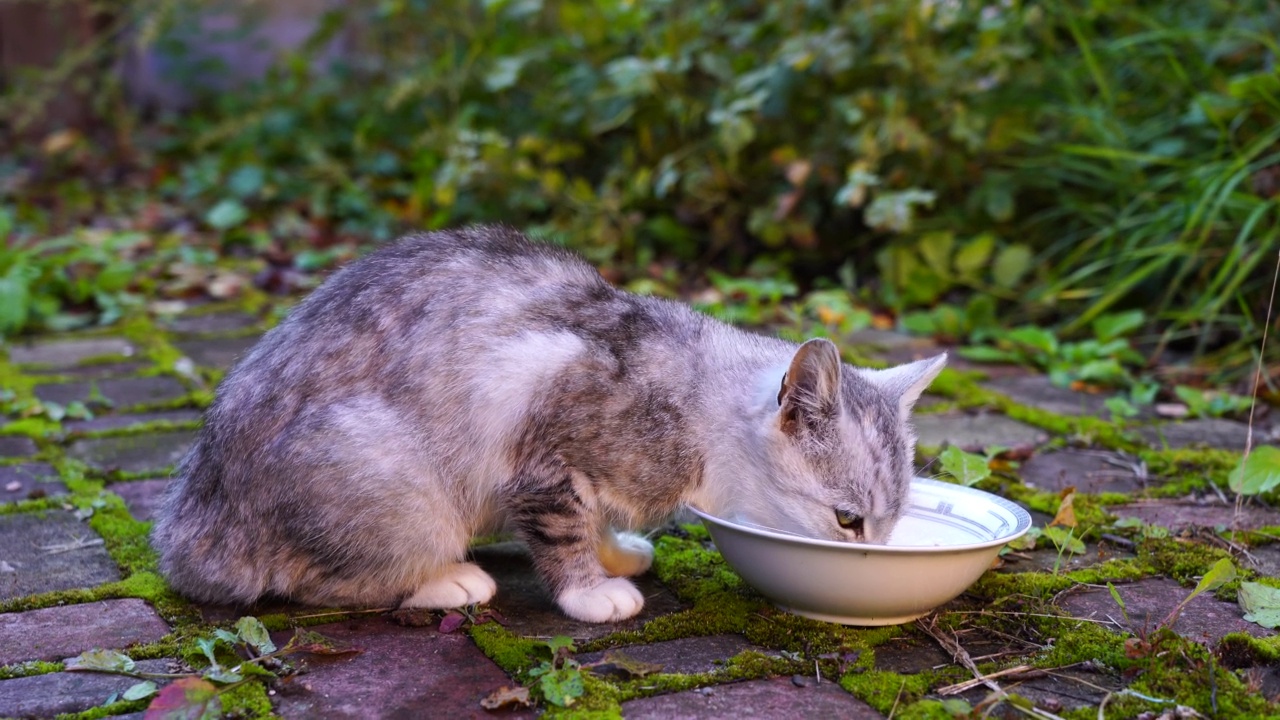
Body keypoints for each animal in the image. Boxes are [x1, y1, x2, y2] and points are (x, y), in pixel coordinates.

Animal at [154, 225, 947, 622]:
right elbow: (564, 528)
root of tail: (192, 518)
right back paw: (446, 580)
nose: (874, 557)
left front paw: (615, 551)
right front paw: (591, 588)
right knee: (310, 580)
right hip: (385, 474)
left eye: (888, 521)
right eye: (847, 520)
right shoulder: (542, 437)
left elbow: (593, 519)